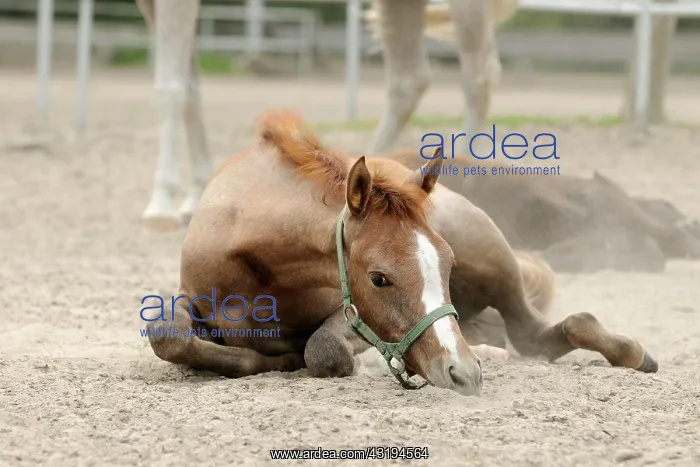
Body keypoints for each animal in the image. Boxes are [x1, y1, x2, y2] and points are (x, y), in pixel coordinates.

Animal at [144, 109, 658, 397]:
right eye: (379, 278)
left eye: (448, 267)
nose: (463, 374)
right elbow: (168, 334)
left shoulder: (345, 317)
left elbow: (324, 350)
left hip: (493, 257)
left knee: (539, 330)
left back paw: (630, 353)